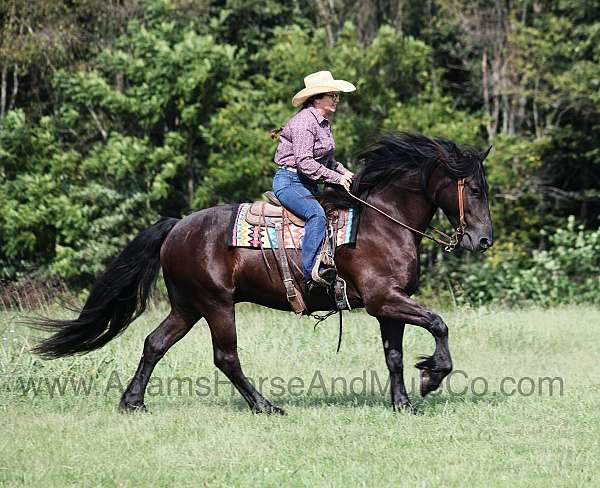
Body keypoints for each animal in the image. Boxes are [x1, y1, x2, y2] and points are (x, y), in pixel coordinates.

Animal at [29, 133, 492, 416]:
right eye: (474, 188)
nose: (483, 240)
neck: (383, 222)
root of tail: (177, 227)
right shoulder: (384, 299)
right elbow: (438, 323)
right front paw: (432, 375)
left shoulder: (388, 305)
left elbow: (394, 355)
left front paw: (403, 404)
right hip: (216, 304)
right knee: (226, 357)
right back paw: (265, 406)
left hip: (187, 307)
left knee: (154, 343)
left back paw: (133, 401)